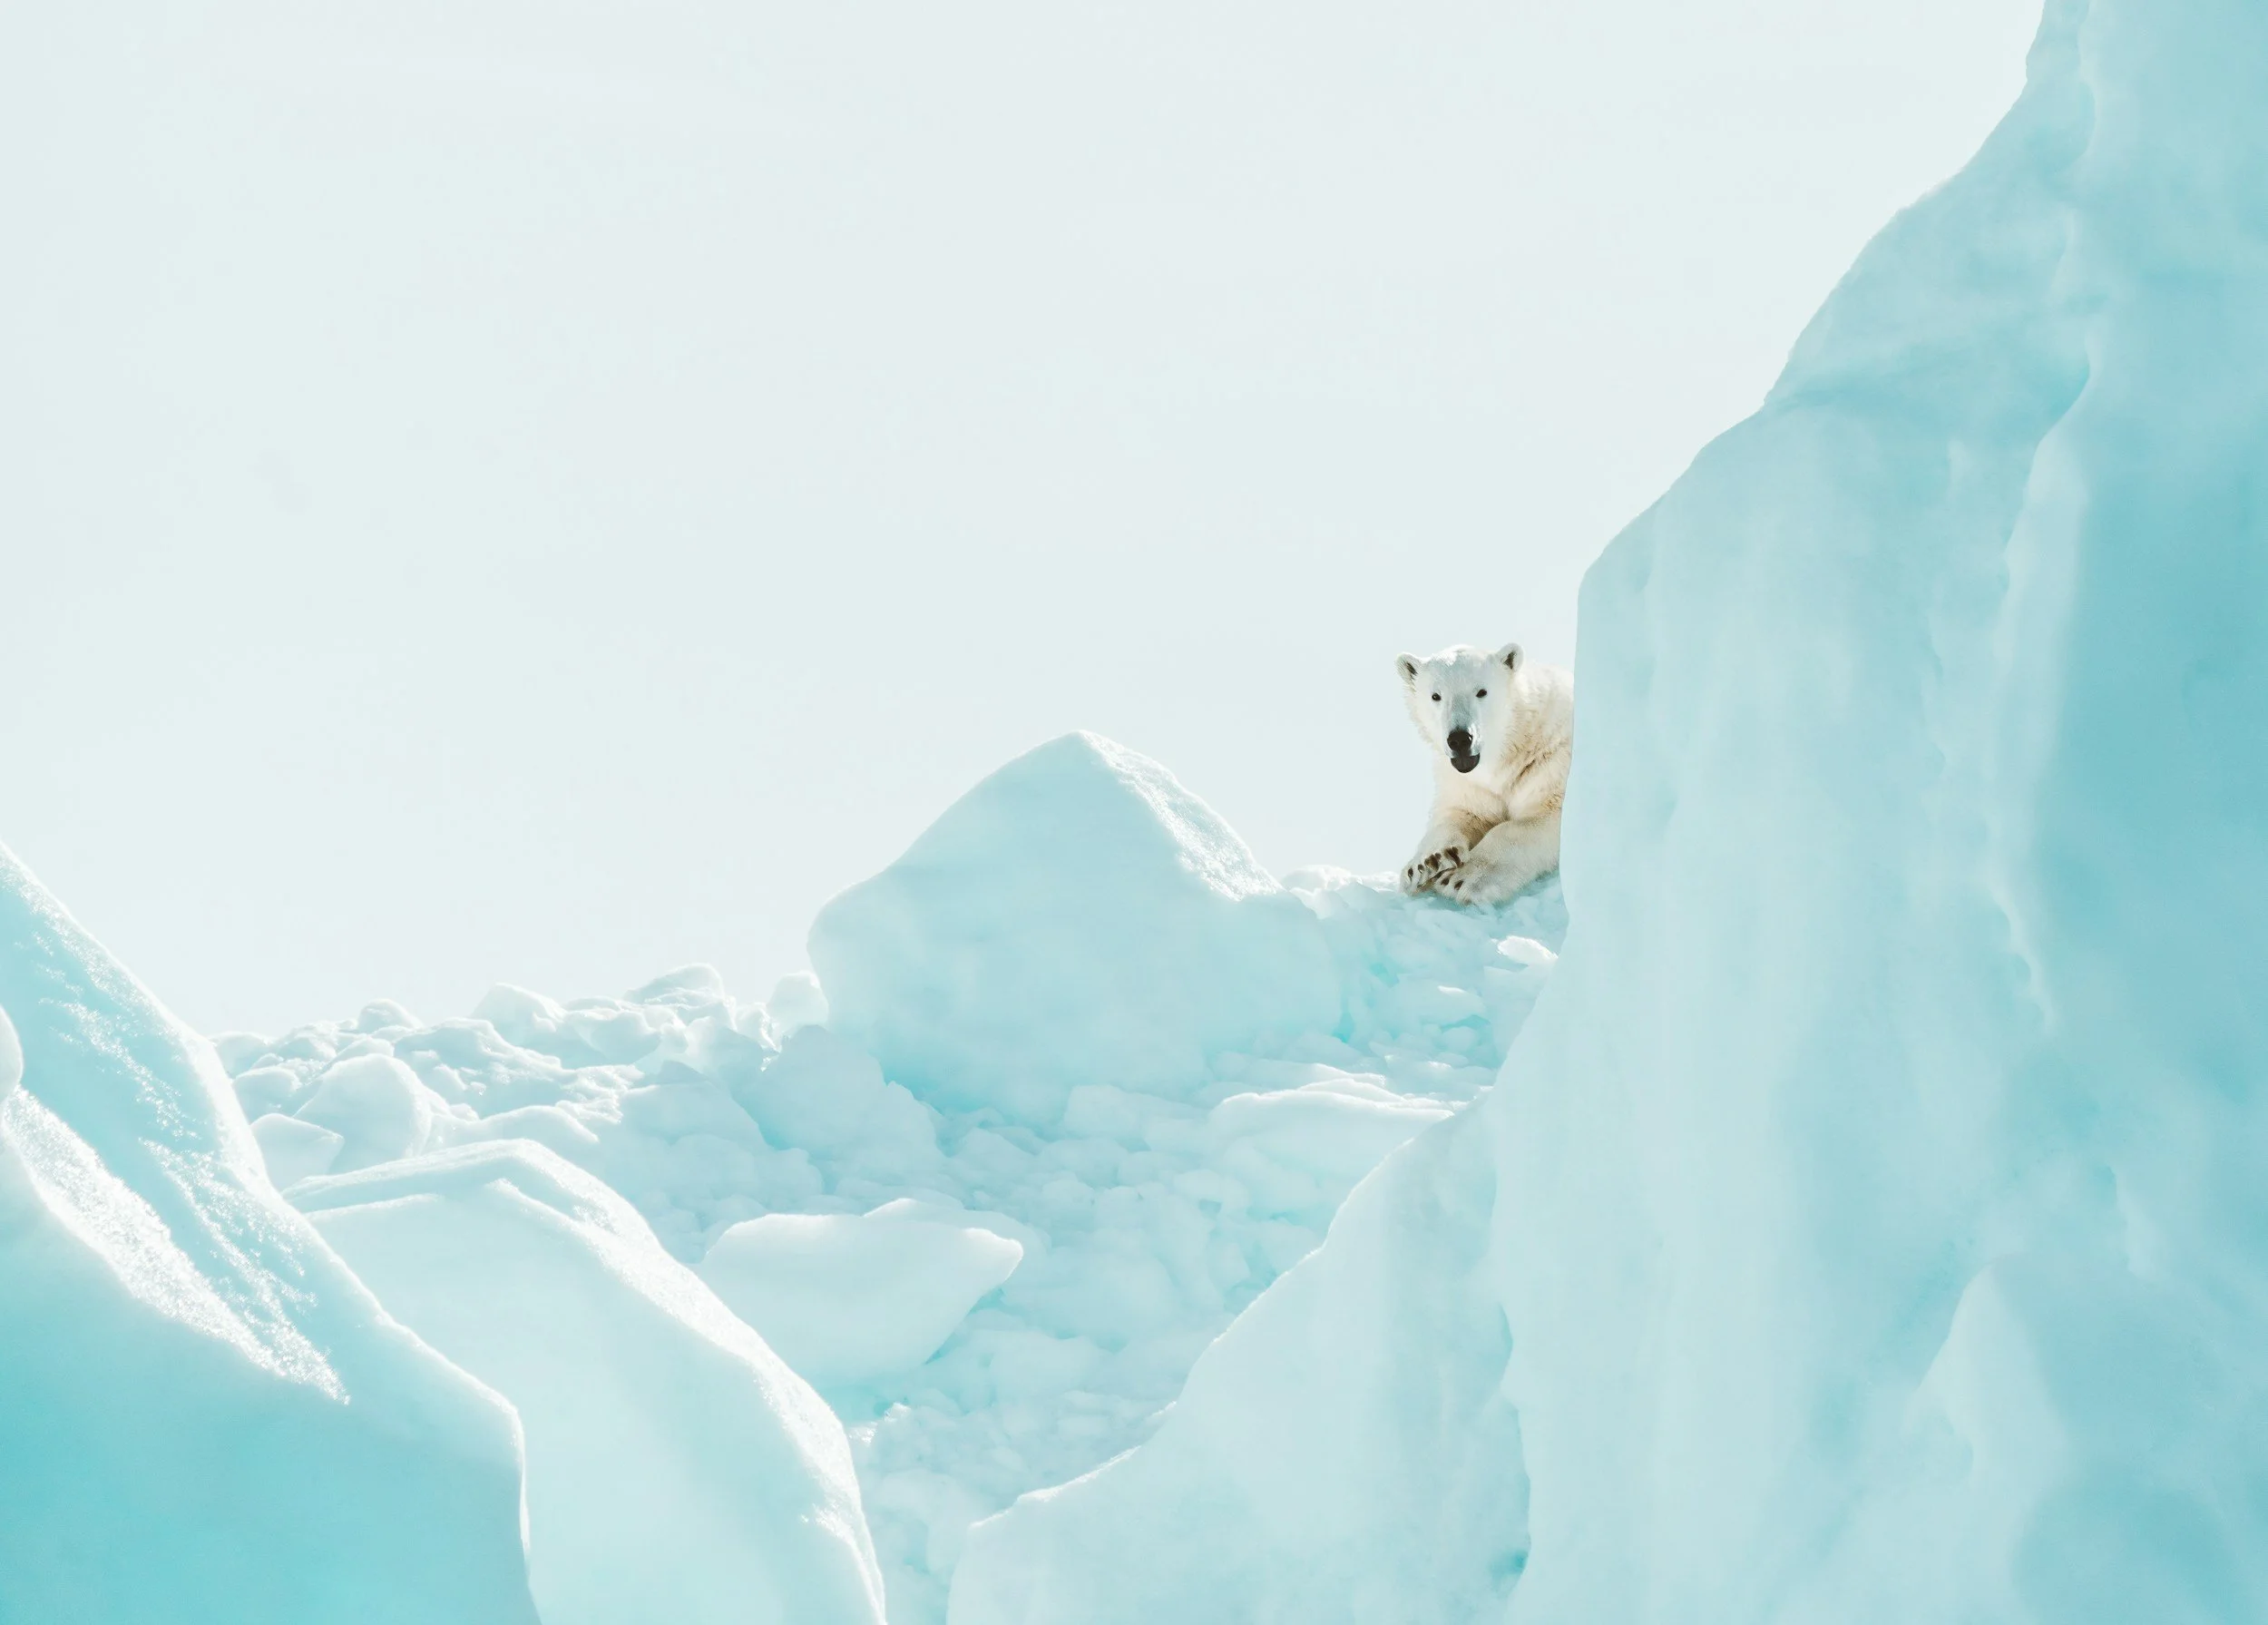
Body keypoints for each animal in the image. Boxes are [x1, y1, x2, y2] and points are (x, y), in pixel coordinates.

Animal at [1395, 641, 1574, 905]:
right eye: (1436, 696)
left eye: (1481, 691)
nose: (1460, 739)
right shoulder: (1470, 784)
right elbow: (1463, 812)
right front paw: (1427, 863)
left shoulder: (1551, 762)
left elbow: (1538, 818)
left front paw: (1463, 879)